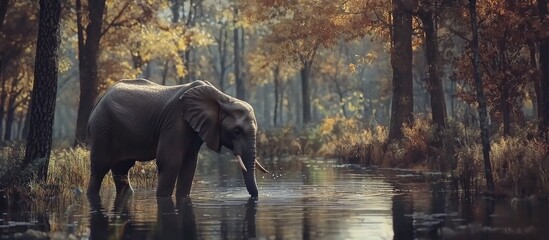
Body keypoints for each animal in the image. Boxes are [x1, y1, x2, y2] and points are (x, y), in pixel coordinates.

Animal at [86, 78, 268, 199]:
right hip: (102, 129)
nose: (255, 197)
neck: (223, 98)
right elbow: (170, 161)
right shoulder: (175, 122)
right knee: (99, 168)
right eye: (237, 131)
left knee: (121, 169)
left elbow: (189, 165)